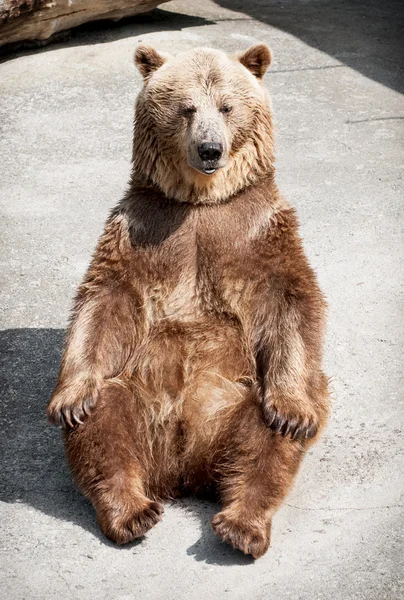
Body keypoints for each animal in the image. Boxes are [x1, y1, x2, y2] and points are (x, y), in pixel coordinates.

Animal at [47, 42, 330, 556]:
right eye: (186, 107)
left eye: (227, 106)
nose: (210, 148)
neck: (200, 202)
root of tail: (182, 468)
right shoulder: (141, 228)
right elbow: (104, 299)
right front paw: (69, 399)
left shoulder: (257, 230)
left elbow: (291, 302)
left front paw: (292, 411)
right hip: (138, 395)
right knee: (105, 422)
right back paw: (131, 511)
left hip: (238, 397)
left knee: (263, 440)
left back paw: (242, 524)